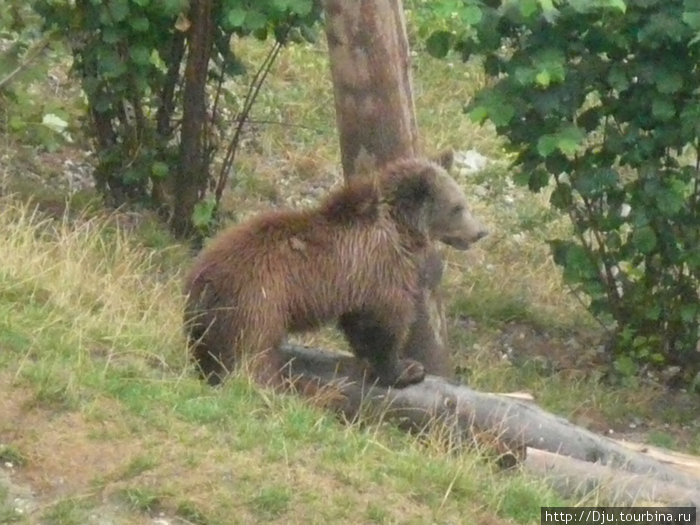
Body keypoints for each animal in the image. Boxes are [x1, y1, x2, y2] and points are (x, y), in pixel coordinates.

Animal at [183, 156, 486, 388]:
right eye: (458, 207)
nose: (480, 232)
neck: (400, 231)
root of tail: (205, 280)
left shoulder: (357, 282)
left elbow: (359, 322)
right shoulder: (381, 270)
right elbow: (387, 321)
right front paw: (407, 369)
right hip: (259, 300)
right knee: (253, 353)